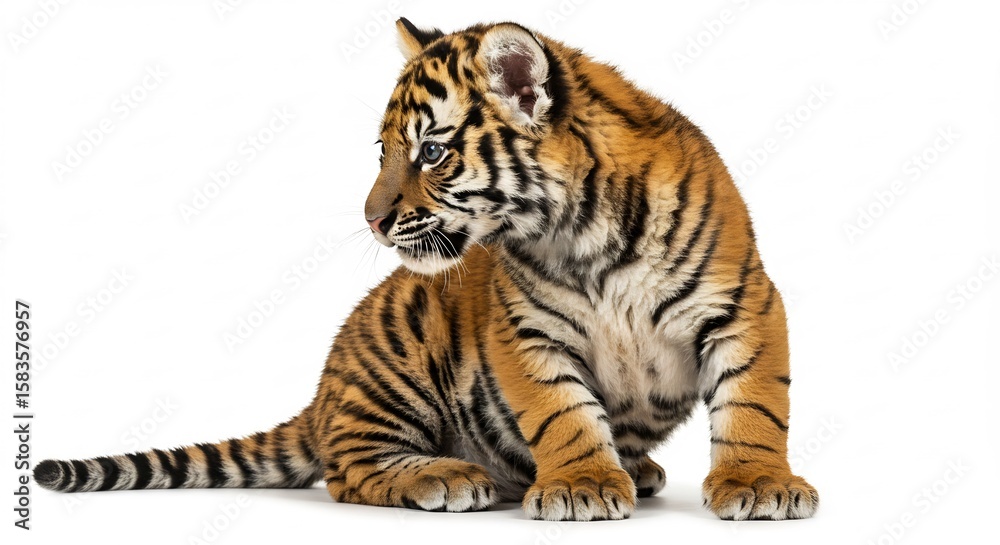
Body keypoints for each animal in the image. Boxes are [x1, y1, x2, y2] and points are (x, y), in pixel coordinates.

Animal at [34, 18, 819, 522]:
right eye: (382, 151)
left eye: (431, 152)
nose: (372, 218)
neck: (581, 232)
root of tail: (320, 398)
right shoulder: (525, 332)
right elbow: (563, 412)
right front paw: (585, 483)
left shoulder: (745, 305)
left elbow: (754, 405)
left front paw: (758, 483)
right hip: (397, 348)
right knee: (349, 471)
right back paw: (449, 476)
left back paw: (639, 469)